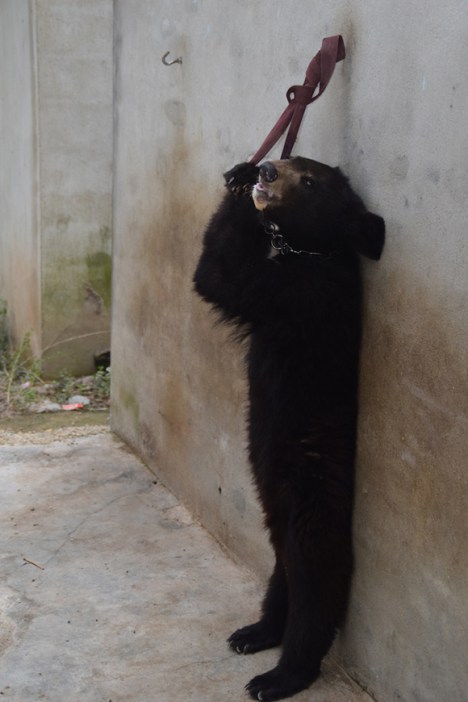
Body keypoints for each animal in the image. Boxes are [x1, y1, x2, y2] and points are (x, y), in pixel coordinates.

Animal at [193, 157, 385, 701]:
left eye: (311, 180)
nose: (268, 171)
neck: (312, 250)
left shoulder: (301, 294)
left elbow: (222, 277)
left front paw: (241, 191)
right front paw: (239, 175)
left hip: (311, 493)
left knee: (317, 575)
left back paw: (281, 675)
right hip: (274, 495)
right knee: (284, 565)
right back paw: (255, 632)